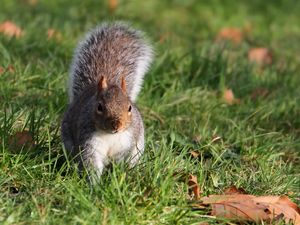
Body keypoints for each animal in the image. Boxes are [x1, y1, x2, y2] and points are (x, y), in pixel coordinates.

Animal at [61, 22, 154, 178]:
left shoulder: (127, 143)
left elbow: (122, 161)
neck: (110, 135)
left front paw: (120, 175)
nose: (117, 125)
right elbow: (91, 163)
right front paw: (94, 182)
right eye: (99, 107)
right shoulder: (89, 143)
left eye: (130, 107)